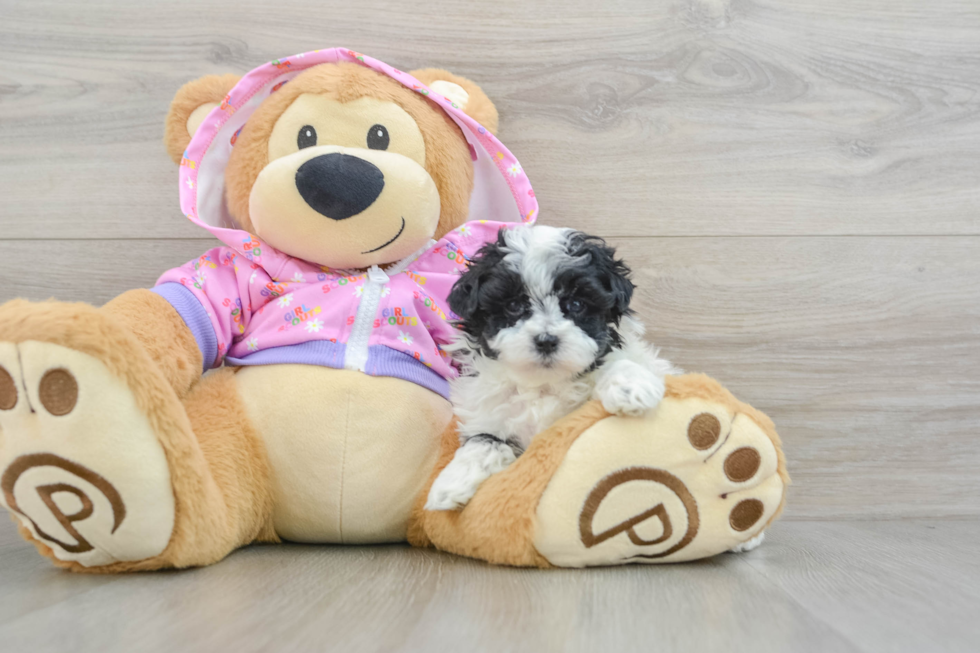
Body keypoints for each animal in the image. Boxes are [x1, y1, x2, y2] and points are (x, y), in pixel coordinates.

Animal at [424, 224, 676, 510]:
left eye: (576, 304)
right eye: (514, 305)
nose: (546, 340)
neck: (543, 384)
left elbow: (621, 361)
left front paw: (631, 389)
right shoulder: (487, 415)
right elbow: (483, 441)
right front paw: (452, 483)